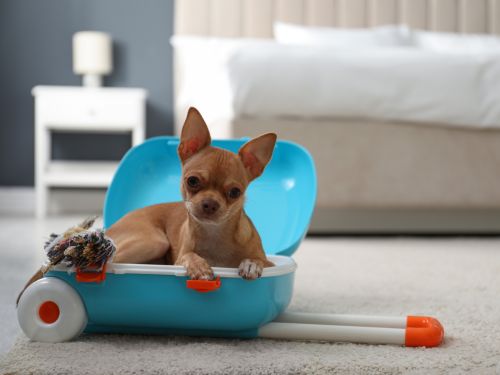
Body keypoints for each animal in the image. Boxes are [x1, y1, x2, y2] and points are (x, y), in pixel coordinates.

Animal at [107, 106, 276, 280]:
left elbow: (259, 260)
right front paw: (198, 265)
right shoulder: (179, 259)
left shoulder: (270, 264)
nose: (210, 203)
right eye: (192, 181)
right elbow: (188, 255)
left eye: (235, 192)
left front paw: (251, 263)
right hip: (154, 241)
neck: (214, 233)